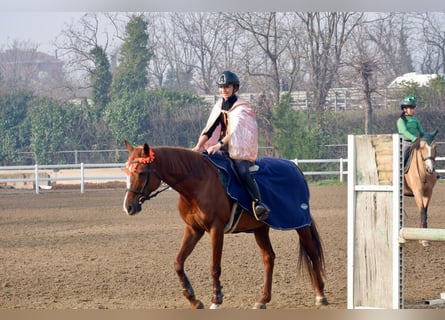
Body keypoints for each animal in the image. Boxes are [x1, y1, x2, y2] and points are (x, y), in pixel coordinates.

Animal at [121, 141, 326, 310]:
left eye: (141, 173)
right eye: (127, 172)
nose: (128, 206)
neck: (198, 182)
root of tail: (294, 167)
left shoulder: (216, 229)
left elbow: (215, 266)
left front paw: (216, 299)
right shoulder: (193, 229)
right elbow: (178, 263)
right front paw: (193, 299)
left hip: (301, 224)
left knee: (312, 253)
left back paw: (320, 295)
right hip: (260, 229)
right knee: (269, 258)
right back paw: (262, 300)